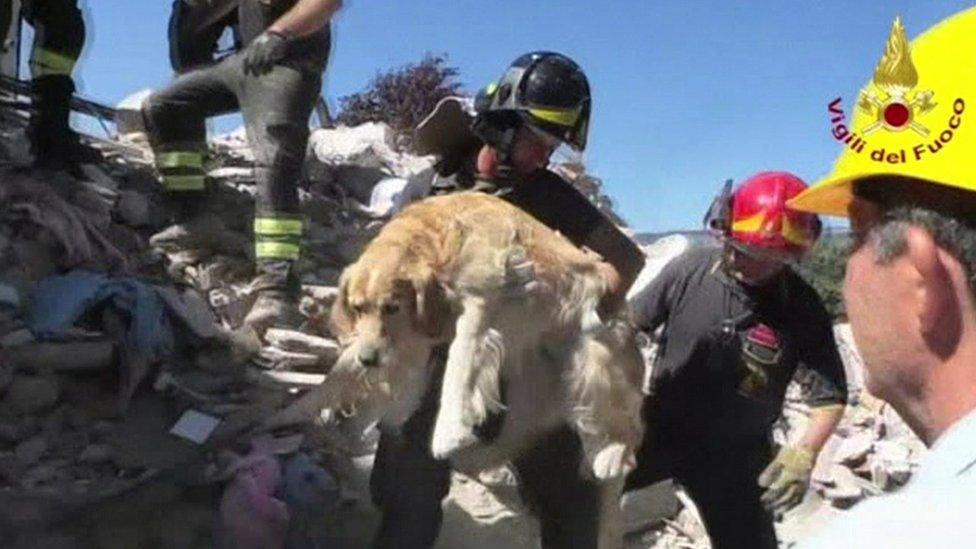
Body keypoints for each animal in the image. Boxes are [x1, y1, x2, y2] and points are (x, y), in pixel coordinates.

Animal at [268, 191, 648, 544]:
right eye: (358, 308)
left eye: (392, 307)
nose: (370, 360)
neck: (441, 238)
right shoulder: (407, 338)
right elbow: (340, 374)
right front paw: (289, 412)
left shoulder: (479, 305)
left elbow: (460, 366)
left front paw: (448, 433)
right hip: (537, 382)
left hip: (592, 361)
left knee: (629, 431)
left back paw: (610, 457)